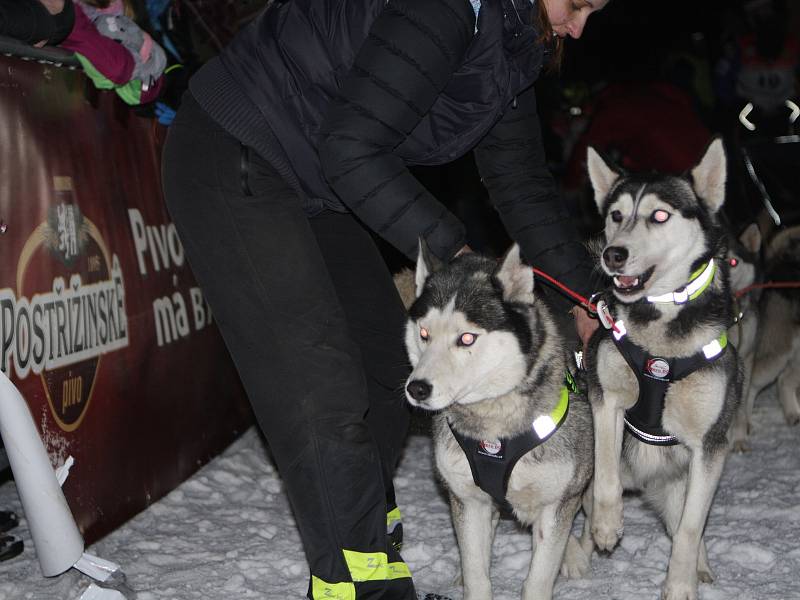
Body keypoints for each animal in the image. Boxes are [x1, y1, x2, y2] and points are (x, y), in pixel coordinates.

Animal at [404, 244, 592, 600]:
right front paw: (470, 579)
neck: (494, 427)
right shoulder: (469, 501)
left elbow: (538, 579)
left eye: (466, 338)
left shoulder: (553, 503)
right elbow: (477, 572)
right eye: (424, 333)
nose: (417, 388)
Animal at [584, 137, 740, 600]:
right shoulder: (605, 399)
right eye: (616, 215)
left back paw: (700, 567)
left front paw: (680, 583)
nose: (613, 254)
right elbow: (606, 473)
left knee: (684, 521)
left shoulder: (710, 446)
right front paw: (607, 524)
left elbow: (690, 528)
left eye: (659, 215)